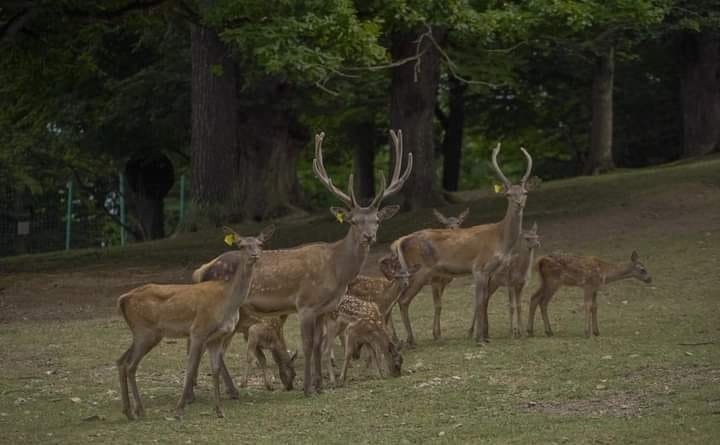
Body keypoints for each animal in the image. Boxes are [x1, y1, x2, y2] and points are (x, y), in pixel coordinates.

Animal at [115, 226, 272, 420]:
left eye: (260, 244)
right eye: (242, 245)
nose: (254, 255)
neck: (227, 302)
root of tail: (123, 299)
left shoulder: (217, 337)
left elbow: (215, 369)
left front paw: (219, 410)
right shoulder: (198, 331)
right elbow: (189, 369)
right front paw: (179, 410)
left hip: (141, 334)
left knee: (121, 361)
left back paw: (129, 411)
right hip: (146, 332)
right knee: (130, 365)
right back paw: (140, 411)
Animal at [191, 130, 412, 396]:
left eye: (377, 220)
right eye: (354, 221)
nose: (369, 236)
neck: (336, 269)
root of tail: (202, 270)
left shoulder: (323, 309)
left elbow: (318, 345)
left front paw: (320, 386)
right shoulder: (306, 304)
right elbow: (307, 345)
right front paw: (308, 388)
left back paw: (225, 392)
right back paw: (226, 391)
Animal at [391, 143, 534, 346]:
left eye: (525, 193)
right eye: (508, 194)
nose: (519, 203)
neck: (500, 239)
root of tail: (402, 240)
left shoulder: (490, 271)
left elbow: (483, 301)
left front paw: (484, 336)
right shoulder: (479, 267)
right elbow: (479, 301)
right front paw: (479, 338)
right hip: (420, 270)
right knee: (403, 301)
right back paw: (411, 340)